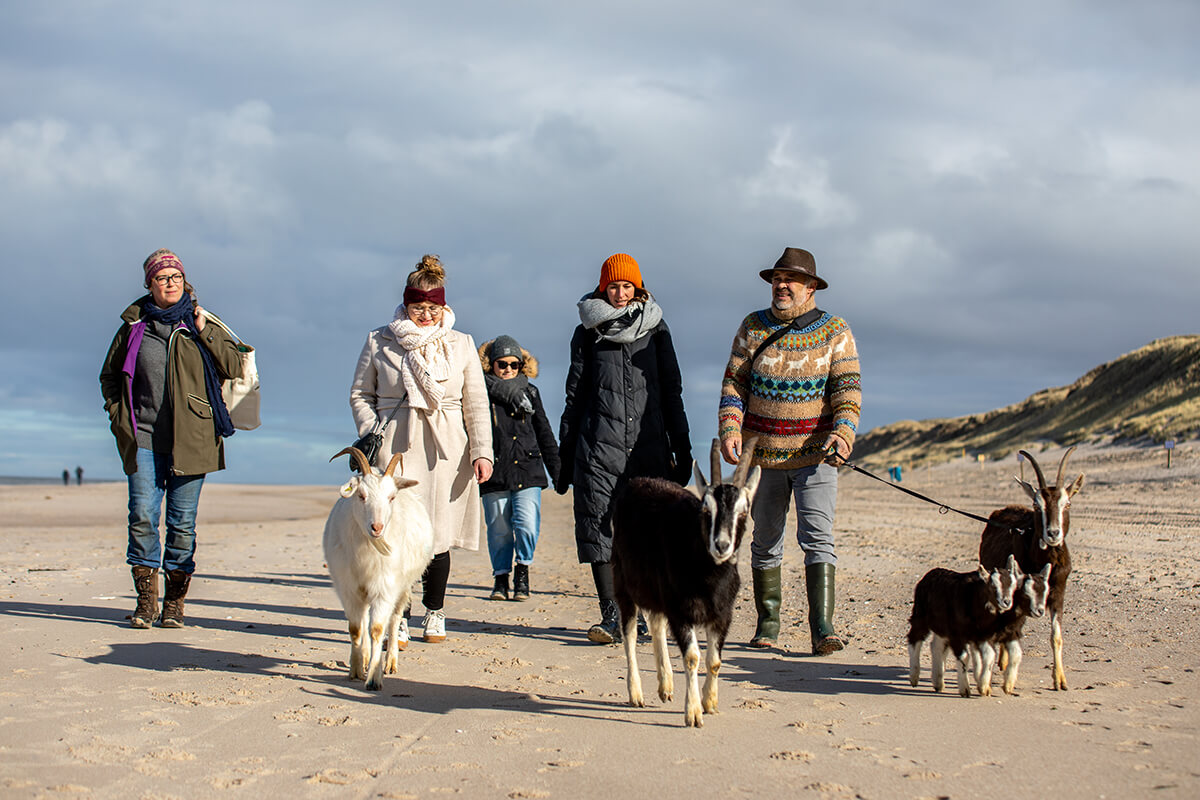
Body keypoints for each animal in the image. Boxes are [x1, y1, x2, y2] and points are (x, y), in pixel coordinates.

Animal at [321, 448, 434, 690]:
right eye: (361, 496)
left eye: (391, 497)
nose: (377, 527)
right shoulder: (348, 588)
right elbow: (356, 628)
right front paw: (356, 669)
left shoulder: (385, 588)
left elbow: (377, 629)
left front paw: (374, 677)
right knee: (364, 618)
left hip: (403, 587)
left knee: (395, 619)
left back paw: (390, 662)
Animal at [614, 438, 763, 724]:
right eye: (706, 509)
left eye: (744, 512)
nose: (721, 545)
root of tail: (640, 481)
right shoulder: (680, 610)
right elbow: (693, 657)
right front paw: (693, 712)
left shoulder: (722, 614)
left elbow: (714, 661)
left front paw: (710, 702)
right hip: (624, 584)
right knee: (629, 634)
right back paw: (636, 693)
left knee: (656, 624)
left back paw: (666, 685)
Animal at [907, 561, 1022, 695]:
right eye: (993, 587)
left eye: (1013, 585)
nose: (1006, 602)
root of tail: (928, 576)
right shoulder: (959, 634)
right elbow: (966, 657)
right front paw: (967, 689)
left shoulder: (989, 635)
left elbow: (1009, 654)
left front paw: (1002, 686)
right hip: (921, 615)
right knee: (915, 638)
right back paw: (914, 677)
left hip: (942, 627)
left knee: (937, 646)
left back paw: (938, 683)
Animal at [979, 448, 1084, 690]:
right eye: (1037, 506)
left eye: (1067, 504)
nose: (1053, 533)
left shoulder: (1058, 594)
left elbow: (1056, 636)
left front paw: (1060, 680)